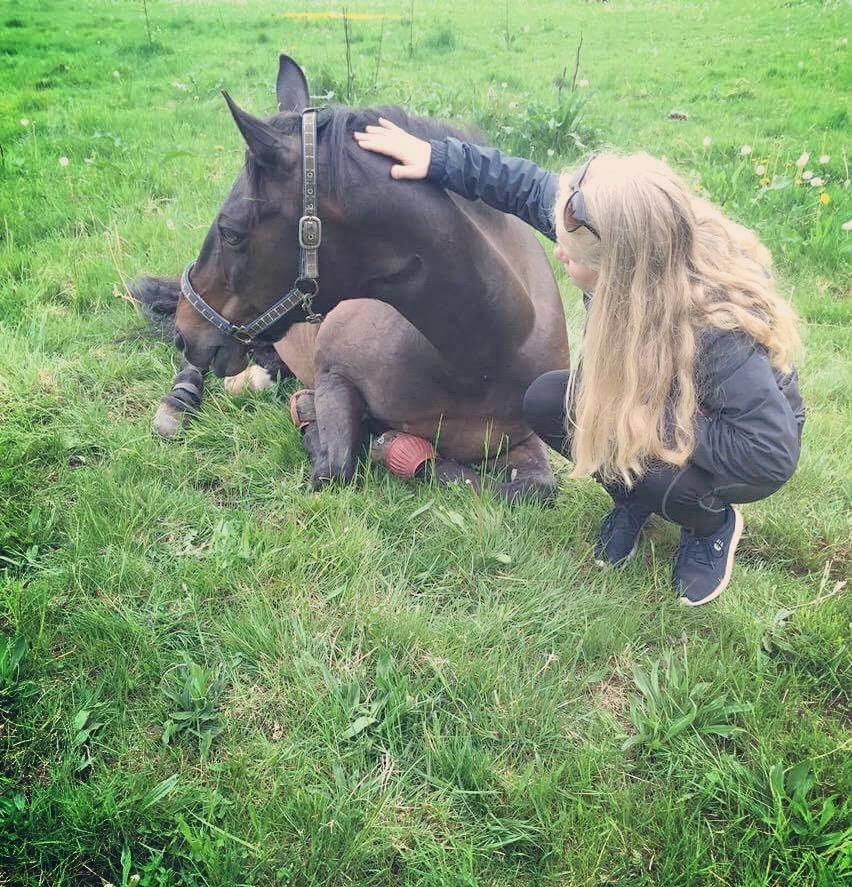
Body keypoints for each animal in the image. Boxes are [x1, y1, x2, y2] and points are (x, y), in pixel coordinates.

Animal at [130, 55, 569, 502]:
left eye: (231, 232)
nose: (186, 330)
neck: (480, 358)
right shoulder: (332, 375)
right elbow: (335, 466)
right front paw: (330, 427)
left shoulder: (519, 441)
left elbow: (535, 488)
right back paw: (179, 401)